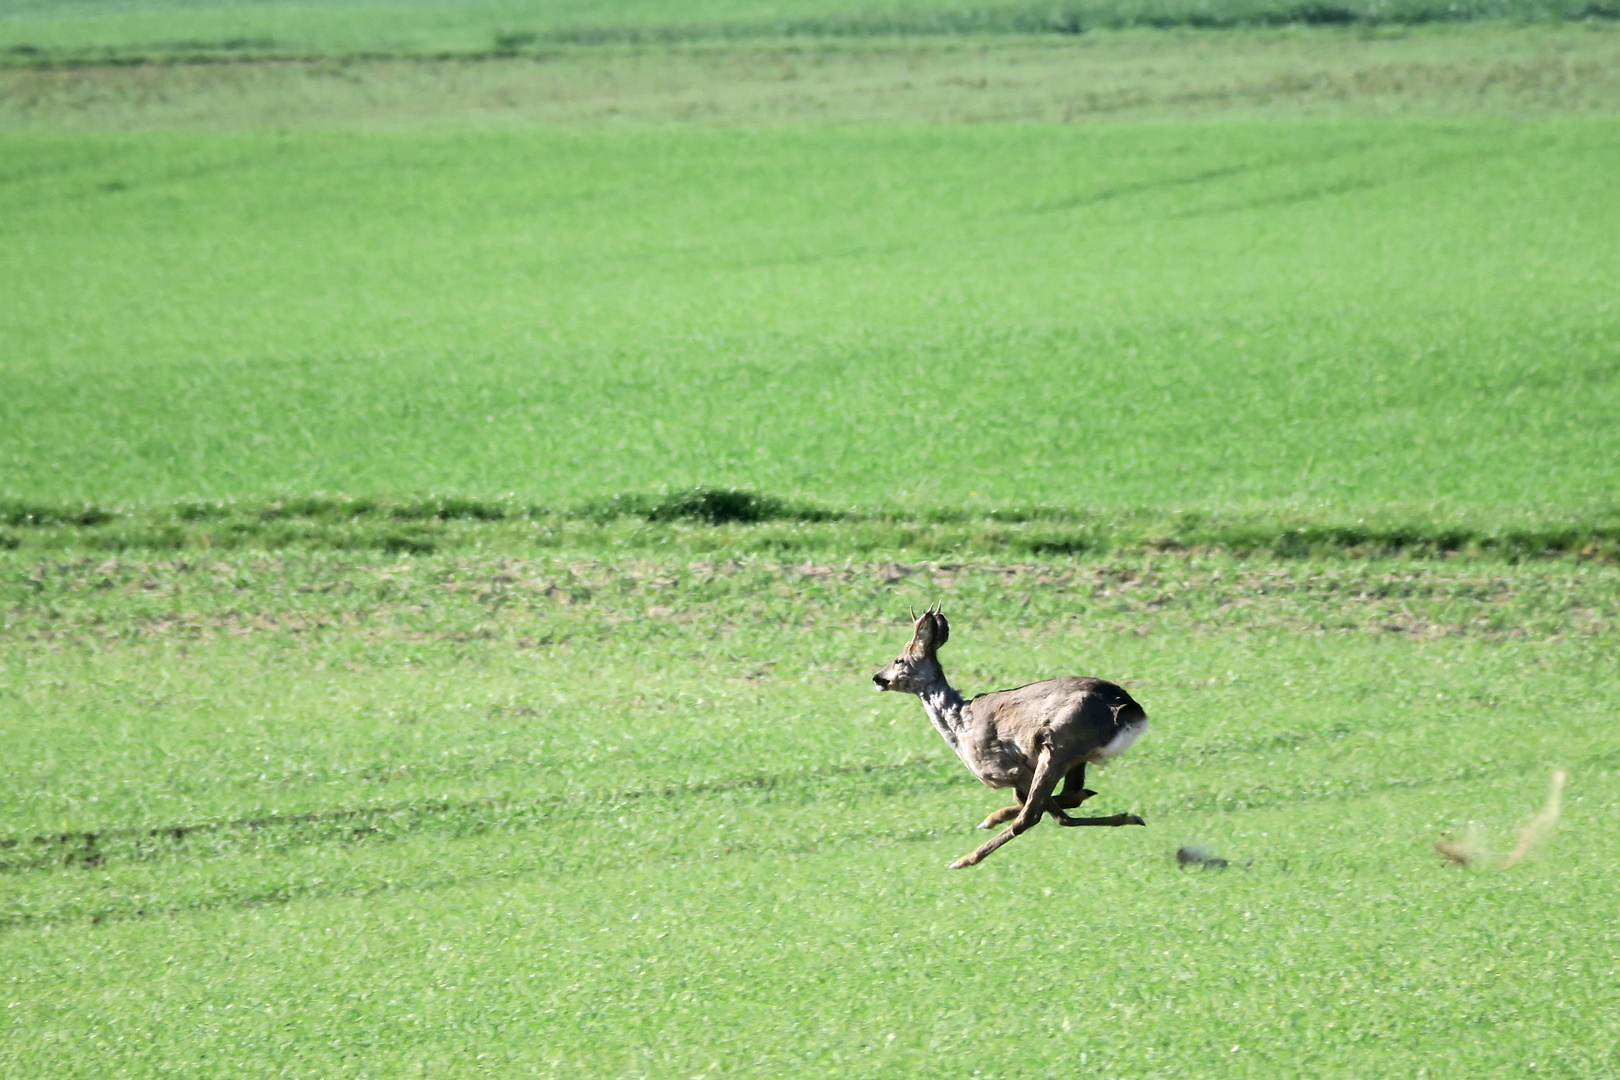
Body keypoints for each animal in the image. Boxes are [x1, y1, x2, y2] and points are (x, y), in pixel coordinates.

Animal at [874, 608, 1153, 867]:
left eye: (899, 660)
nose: (877, 678)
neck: (960, 725)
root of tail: (1130, 711)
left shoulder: (1009, 769)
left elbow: (1038, 806)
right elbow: (1048, 800)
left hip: (1059, 744)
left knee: (1036, 816)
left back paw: (965, 858)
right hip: (1073, 755)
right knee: (1065, 799)